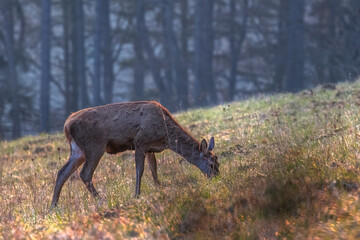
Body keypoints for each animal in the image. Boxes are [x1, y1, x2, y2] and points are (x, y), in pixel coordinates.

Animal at [50, 100, 219, 207]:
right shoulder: (140, 142)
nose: (216, 178)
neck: (167, 135)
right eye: (211, 164)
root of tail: (67, 125)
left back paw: (53, 206)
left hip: (78, 150)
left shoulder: (151, 148)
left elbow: (154, 169)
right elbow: (140, 170)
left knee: (62, 172)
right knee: (84, 174)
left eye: (218, 162)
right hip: (95, 145)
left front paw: (159, 188)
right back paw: (101, 200)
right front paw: (137, 194)